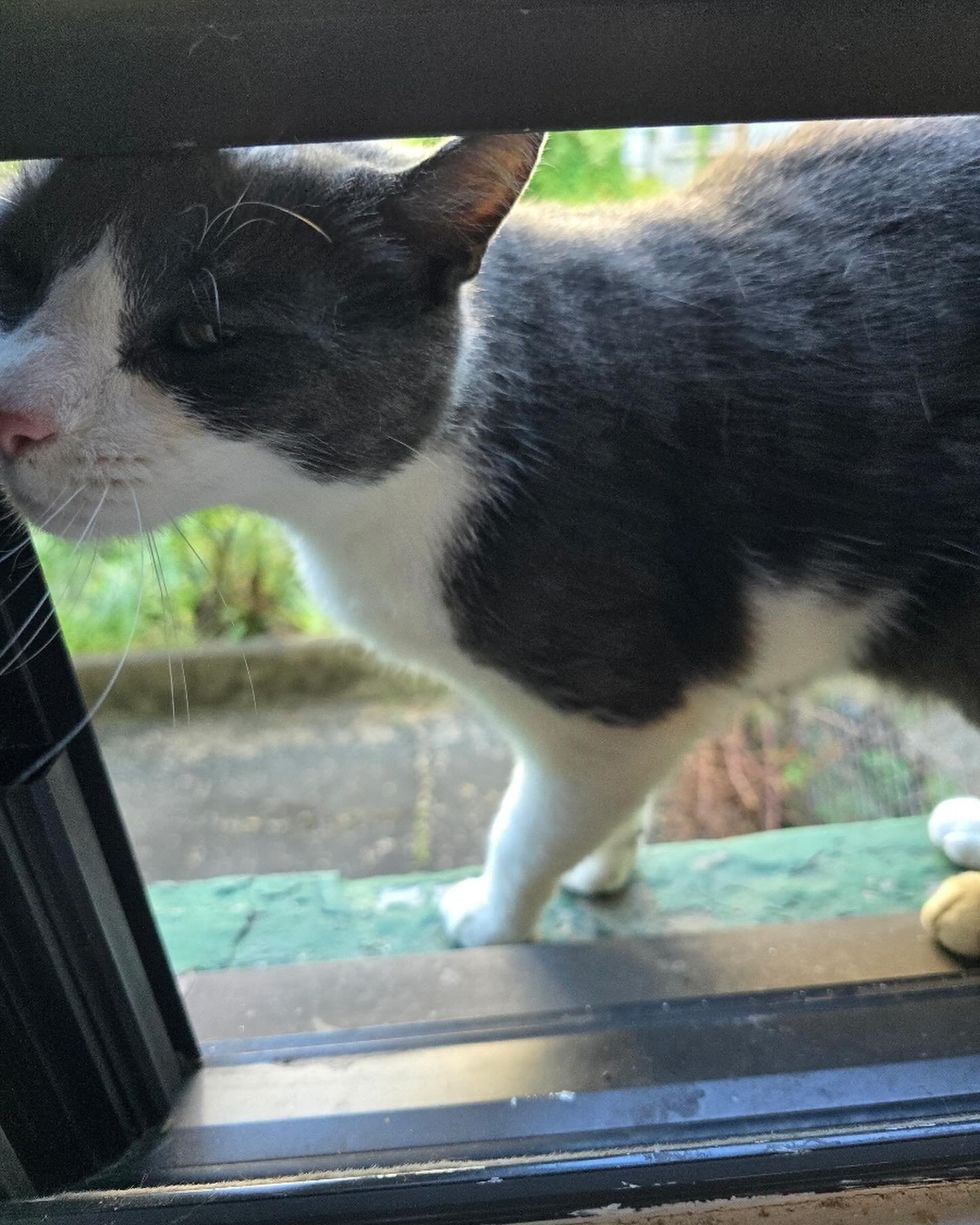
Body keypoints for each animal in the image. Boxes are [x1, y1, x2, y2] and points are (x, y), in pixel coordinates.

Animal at [0, 121, 975, 945]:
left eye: (203, 332)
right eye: (17, 270)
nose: (12, 413)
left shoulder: (622, 698)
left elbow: (531, 824)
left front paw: (492, 920)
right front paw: (606, 861)